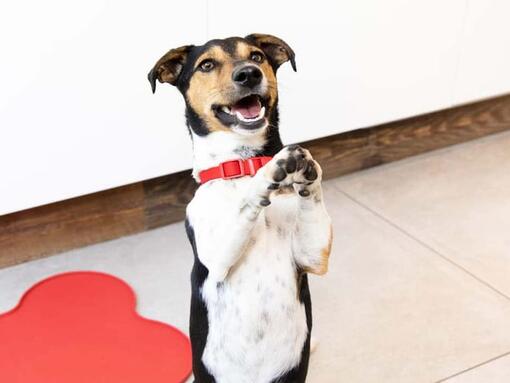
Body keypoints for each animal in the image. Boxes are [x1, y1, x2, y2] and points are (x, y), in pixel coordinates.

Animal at [147, 34, 332, 382]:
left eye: (257, 56)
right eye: (206, 64)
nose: (248, 74)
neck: (242, 164)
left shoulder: (312, 257)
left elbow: (312, 197)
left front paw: (306, 168)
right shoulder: (216, 258)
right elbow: (247, 201)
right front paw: (269, 172)